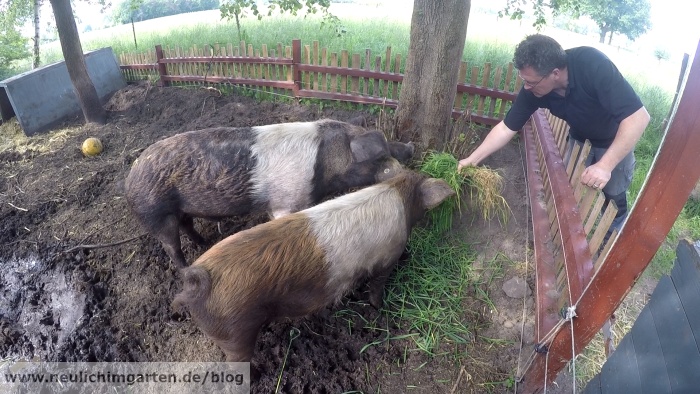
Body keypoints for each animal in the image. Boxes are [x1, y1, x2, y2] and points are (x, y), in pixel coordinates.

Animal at [125, 119, 412, 268]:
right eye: (382, 154)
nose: (410, 148)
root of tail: (130, 176)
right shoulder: (285, 203)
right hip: (156, 213)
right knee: (171, 246)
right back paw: (186, 267)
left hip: (181, 209)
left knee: (187, 226)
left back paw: (204, 244)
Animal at [170, 169, 454, 366]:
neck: (399, 192)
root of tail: (198, 279)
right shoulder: (387, 259)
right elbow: (376, 287)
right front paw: (379, 308)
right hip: (235, 332)